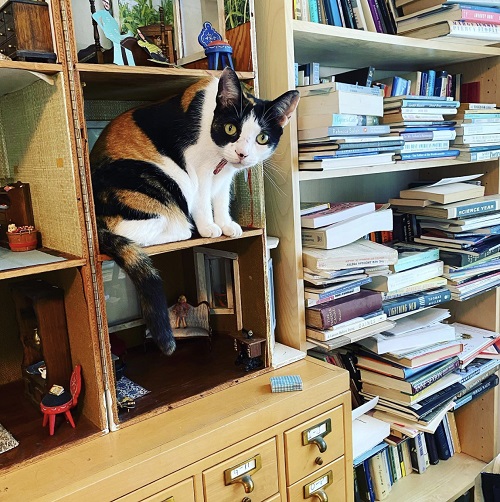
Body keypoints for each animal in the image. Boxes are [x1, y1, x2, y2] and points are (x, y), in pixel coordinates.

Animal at [91, 67, 296, 356]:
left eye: (262, 138)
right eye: (231, 128)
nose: (242, 154)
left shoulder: (225, 175)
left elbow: (220, 198)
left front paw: (227, 225)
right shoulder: (197, 168)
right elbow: (201, 200)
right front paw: (209, 227)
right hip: (158, 179)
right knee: (138, 230)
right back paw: (185, 229)